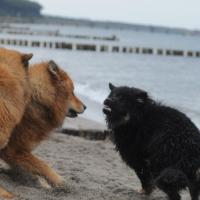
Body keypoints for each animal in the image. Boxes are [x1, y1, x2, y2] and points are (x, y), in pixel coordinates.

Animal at [0, 60, 86, 189]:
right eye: (72, 92)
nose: (85, 107)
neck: (40, 100)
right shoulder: (14, 150)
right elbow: (43, 164)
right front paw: (59, 181)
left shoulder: (18, 152)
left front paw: (40, 182)